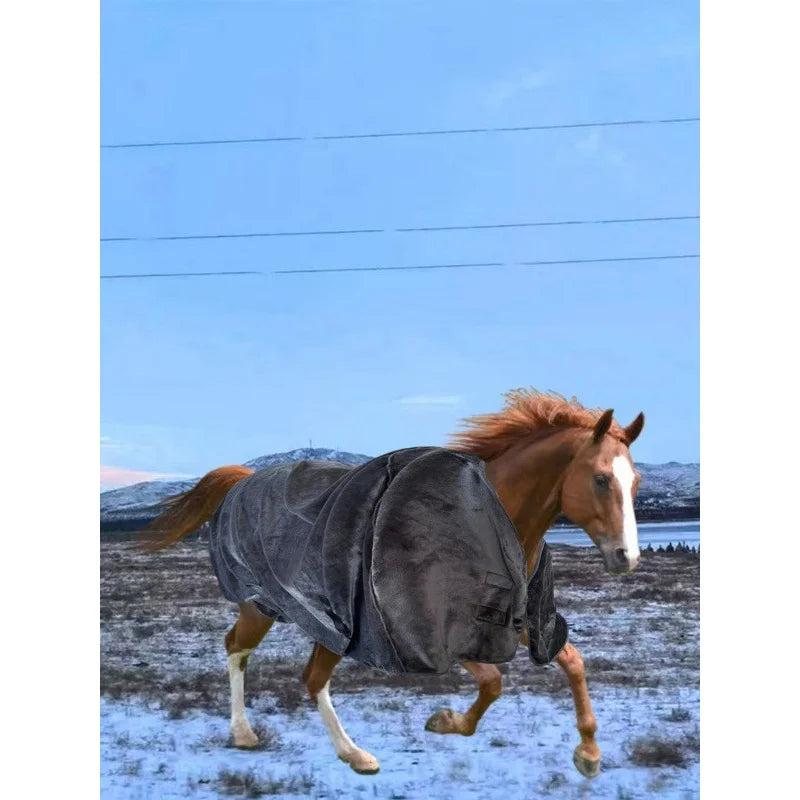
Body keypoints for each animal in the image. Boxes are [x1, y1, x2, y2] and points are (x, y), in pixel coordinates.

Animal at [141, 389, 645, 778]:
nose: (628, 558)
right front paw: (446, 722)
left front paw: (589, 753)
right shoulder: (436, 631)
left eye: (636, 481)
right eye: (601, 479)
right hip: (262, 604)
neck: (484, 516)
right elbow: (495, 681)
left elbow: (573, 663)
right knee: (242, 651)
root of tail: (245, 480)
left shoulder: (512, 618)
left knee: (307, 675)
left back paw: (348, 753)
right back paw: (259, 736)